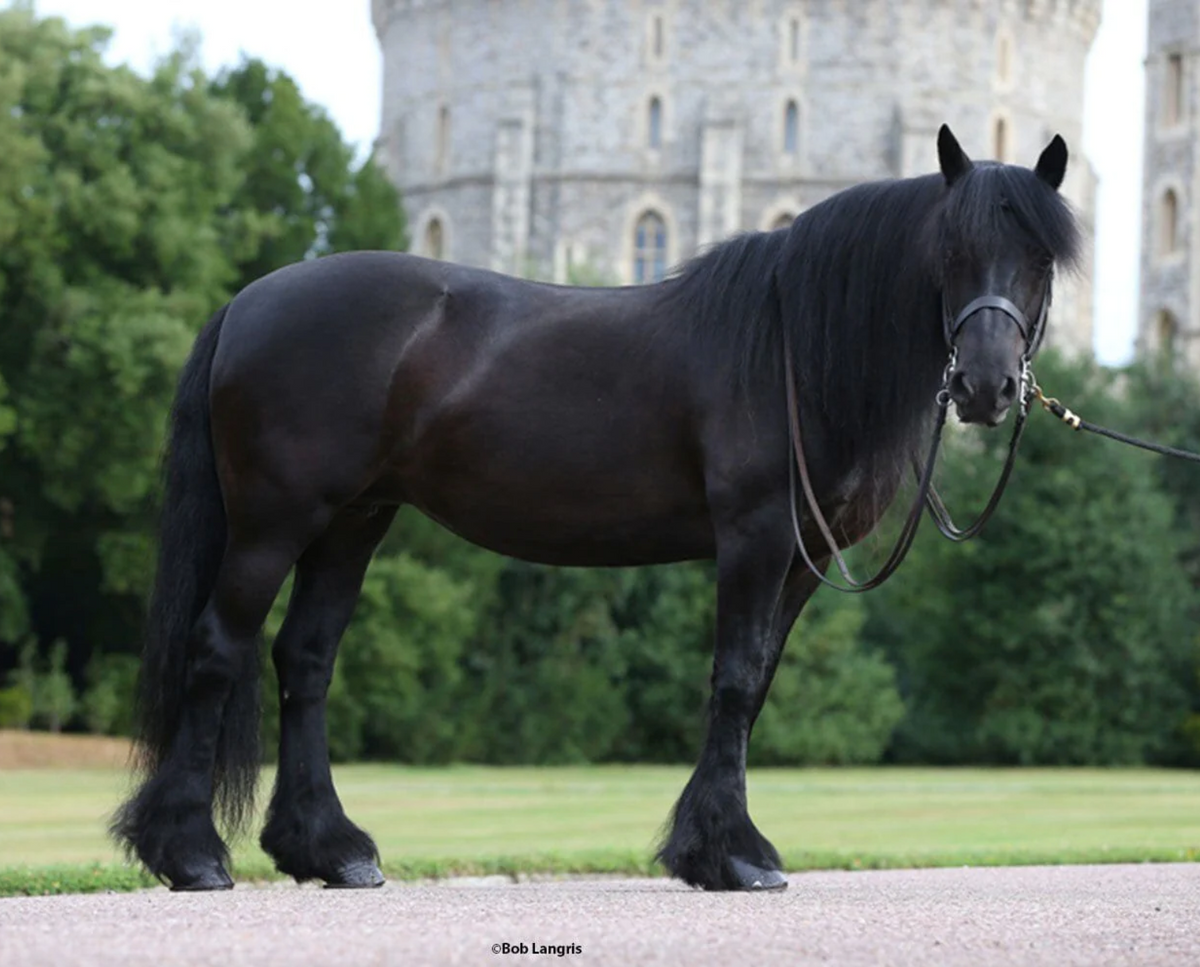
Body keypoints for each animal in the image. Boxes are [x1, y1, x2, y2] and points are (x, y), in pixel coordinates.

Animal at [113, 125, 1080, 893]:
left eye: (1040, 259)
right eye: (950, 250)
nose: (987, 386)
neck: (793, 349)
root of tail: (249, 300)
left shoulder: (802, 563)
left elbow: (758, 684)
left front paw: (712, 844)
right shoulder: (756, 539)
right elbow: (734, 681)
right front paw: (731, 854)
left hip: (354, 522)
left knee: (306, 660)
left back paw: (330, 849)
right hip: (273, 522)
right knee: (218, 649)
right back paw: (191, 853)